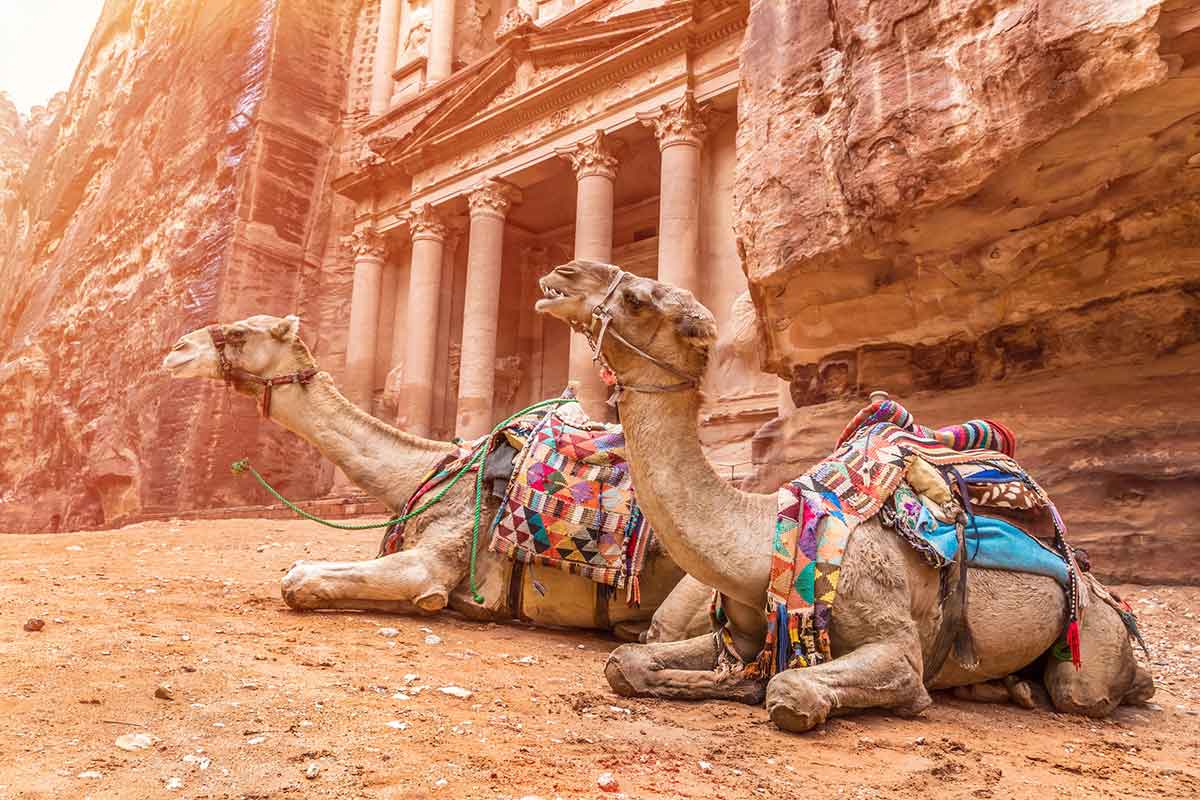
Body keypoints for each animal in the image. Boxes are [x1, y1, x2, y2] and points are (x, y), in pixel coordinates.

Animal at [535, 259, 1154, 732]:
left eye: (638, 299)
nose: (563, 274)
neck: (763, 538)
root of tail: (1088, 574)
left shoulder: (893, 639)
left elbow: (794, 690)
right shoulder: (740, 631)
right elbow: (625, 662)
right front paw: (726, 682)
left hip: (1089, 629)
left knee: (1085, 689)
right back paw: (1004, 686)